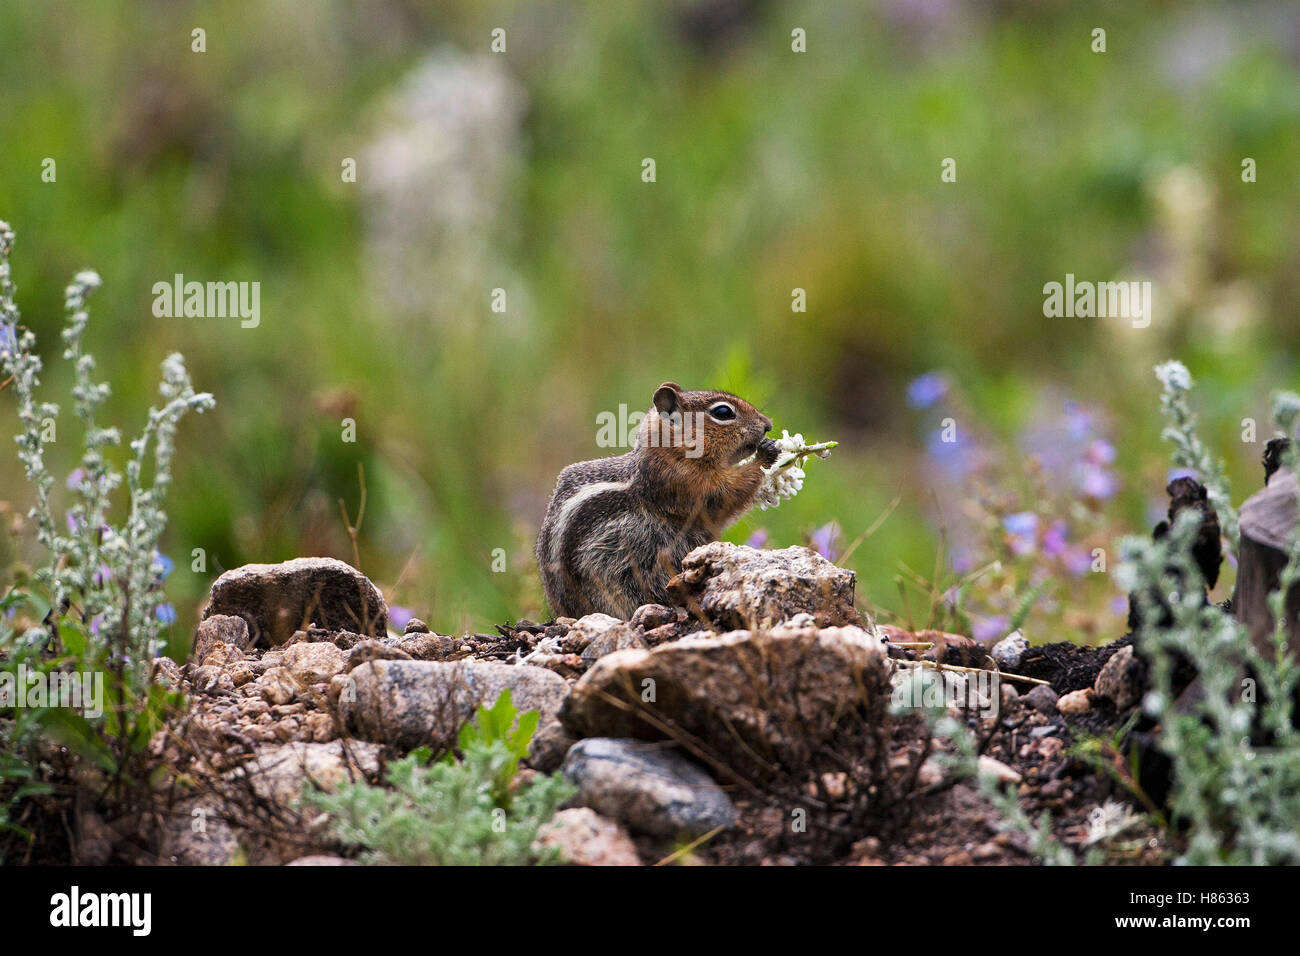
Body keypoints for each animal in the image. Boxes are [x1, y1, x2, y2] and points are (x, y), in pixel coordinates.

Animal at [537, 382, 779, 620]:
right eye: (723, 412)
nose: (768, 424)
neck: (671, 451)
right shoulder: (685, 484)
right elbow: (727, 494)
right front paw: (765, 454)